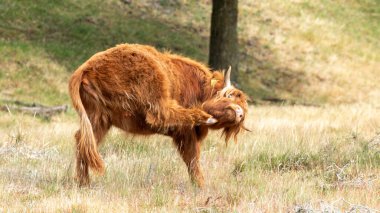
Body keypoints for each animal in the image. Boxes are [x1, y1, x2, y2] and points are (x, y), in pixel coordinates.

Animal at [69, 43, 249, 186]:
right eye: (230, 95)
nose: (239, 114)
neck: (199, 89)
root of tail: (86, 67)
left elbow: (192, 160)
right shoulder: (186, 134)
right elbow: (193, 159)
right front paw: (200, 186)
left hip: (99, 117)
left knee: (84, 141)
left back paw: (83, 183)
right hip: (152, 88)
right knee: (160, 114)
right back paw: (204, 116)